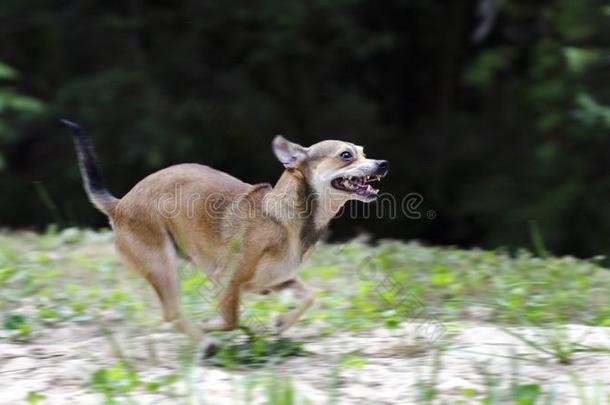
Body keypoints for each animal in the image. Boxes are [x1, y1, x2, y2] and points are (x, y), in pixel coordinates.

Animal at [60, 119, 384, 340]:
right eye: (346, 155)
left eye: (364, 152)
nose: (383, 163)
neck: (286, 217)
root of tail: (120, 204)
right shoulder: (227, 281)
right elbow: (230, 319)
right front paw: (211, 326)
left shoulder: (279, 281)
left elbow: (310, 297)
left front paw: (282, 322)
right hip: (162, 263)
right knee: (172, 312)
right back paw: (204, 342)